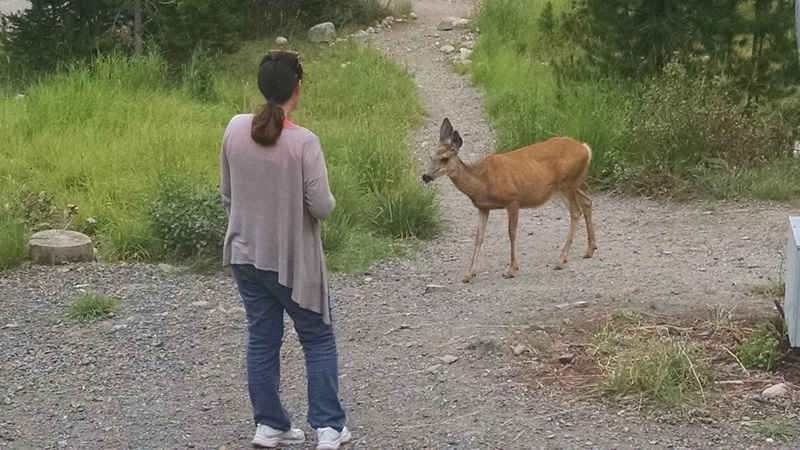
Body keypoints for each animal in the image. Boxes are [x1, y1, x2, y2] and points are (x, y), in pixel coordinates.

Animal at [422, 118, 597, 283]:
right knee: (587, 202)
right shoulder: (483, 207)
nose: (425, 176)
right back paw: (590, 250)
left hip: (567, 185)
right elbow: (479, 237)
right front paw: (468, 274)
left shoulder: (513, 200)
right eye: (431, 157)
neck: (482, 182)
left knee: (576, 211)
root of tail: (586, 149)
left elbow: (511, 233)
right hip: (568, 187)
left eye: (444, 159)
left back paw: (560, 260)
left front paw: (512, 269)